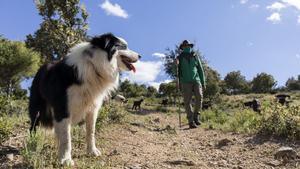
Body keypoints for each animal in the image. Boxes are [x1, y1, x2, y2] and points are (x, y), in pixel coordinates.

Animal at [28, 32, 140, 165]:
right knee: (34, 124)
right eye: (124, 46)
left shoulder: (93, 108)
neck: (94, 66)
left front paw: (92, 151)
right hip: (37, 106)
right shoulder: (63, 107)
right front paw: (66, 159)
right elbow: (66, 137)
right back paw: (32, 143)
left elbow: (91, 131)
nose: (140, 56)